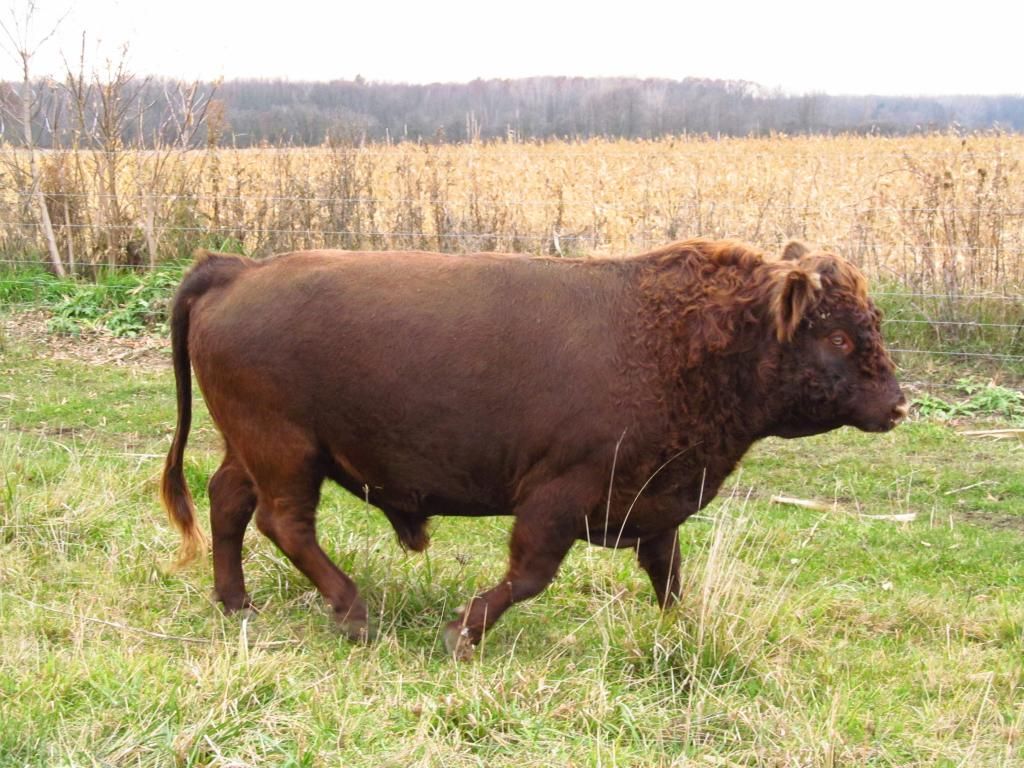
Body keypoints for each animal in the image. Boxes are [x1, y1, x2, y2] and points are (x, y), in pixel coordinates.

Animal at [161, 238, 907, 659]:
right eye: (838, 336)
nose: (898, 404)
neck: (687, 337)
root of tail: (235, 271)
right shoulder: (559, 497)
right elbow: (530, 574)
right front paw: (463, 635)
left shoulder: (654, 497)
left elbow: (667, 572)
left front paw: (682, 631)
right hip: (287, 452)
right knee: (284, 522)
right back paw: (351, 612)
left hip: (253, 450)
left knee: (228, 503)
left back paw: (237, 604)